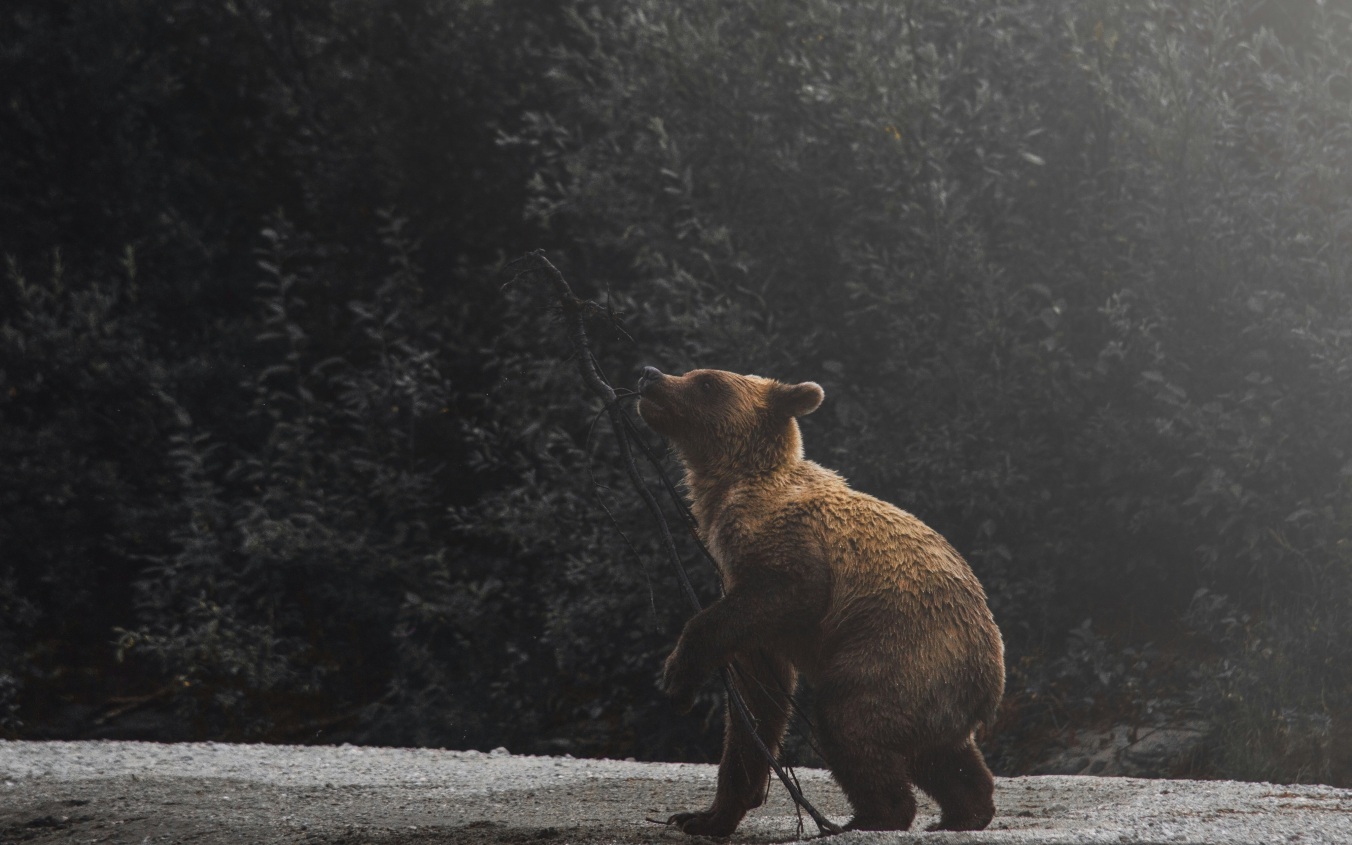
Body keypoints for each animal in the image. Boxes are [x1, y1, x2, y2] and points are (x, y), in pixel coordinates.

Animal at [636, 366, 1005, 835]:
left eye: (706, 382)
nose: (650, 375)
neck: (727, 495)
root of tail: (991, 685)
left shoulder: (788, 553)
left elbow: (787, 596)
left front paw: (677, 681)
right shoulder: (743, 600)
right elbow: (756, 705)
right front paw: (704, 816)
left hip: (905, 652)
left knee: (849, 718)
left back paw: (871, 815)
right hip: (935, 692)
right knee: (941, 754)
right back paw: (963, 811)